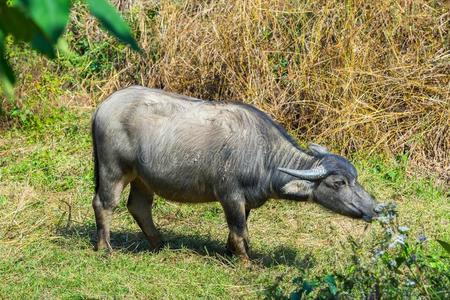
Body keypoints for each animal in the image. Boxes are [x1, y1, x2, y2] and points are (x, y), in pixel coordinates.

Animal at [91, 86, 376, 260]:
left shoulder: (245, 201)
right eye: (339, 182)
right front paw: (244, 260)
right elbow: (239, 229)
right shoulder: (230, 196)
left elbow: (240, 229)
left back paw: (159, 243)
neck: (264, 156)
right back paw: (105, 248)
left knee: (139, 206)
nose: (375, 208)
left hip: (142, 178)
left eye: (356, 178)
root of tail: (103, 107)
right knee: (104, 204)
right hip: (113, 169)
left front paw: (231, 252)